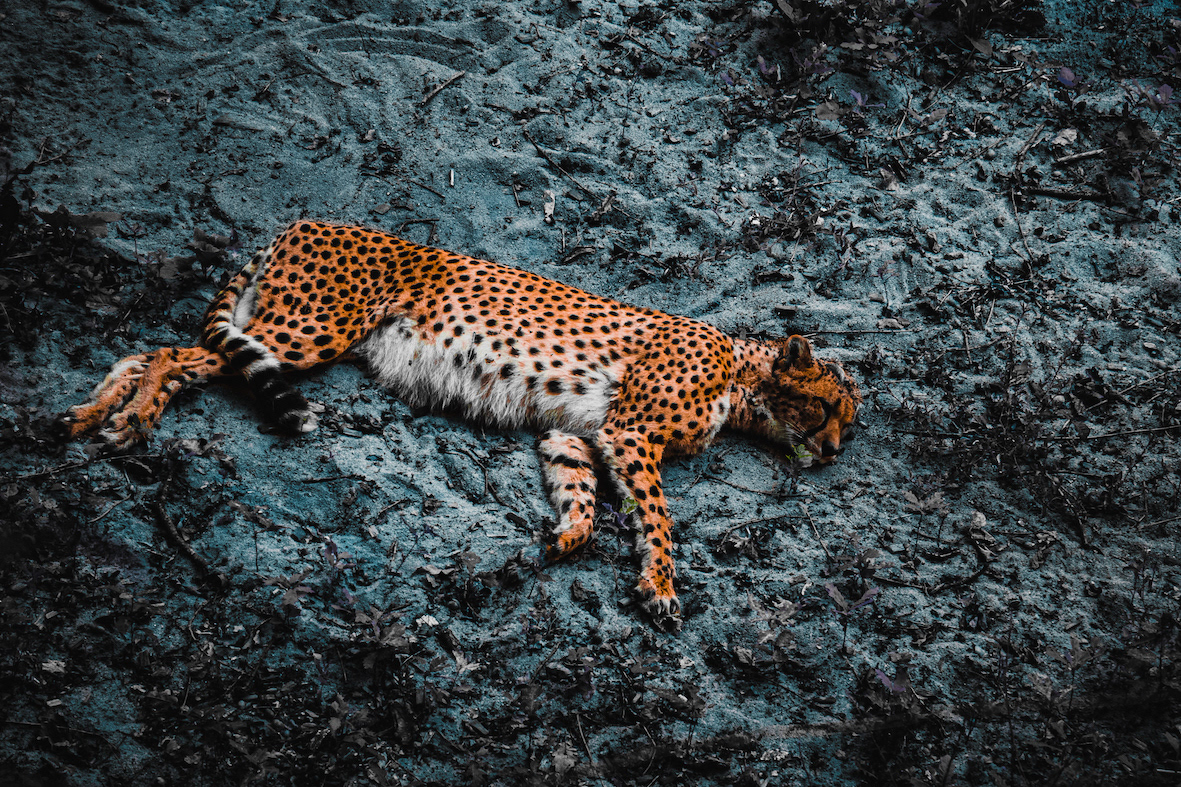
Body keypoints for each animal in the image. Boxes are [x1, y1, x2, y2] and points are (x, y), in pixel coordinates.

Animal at [64, 220, 862, 631]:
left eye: (845, 426)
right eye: (829, 410)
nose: (831, 452)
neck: (745, 374)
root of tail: (309, 219)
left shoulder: (576, 431)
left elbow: (583, 504)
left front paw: (551, 542)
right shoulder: (630, 432)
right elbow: (660, 517)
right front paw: (661, 584)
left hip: (278, 331)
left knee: (149, 352)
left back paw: (92, 416)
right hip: (306, 331)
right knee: (168, 352)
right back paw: (128, 423)